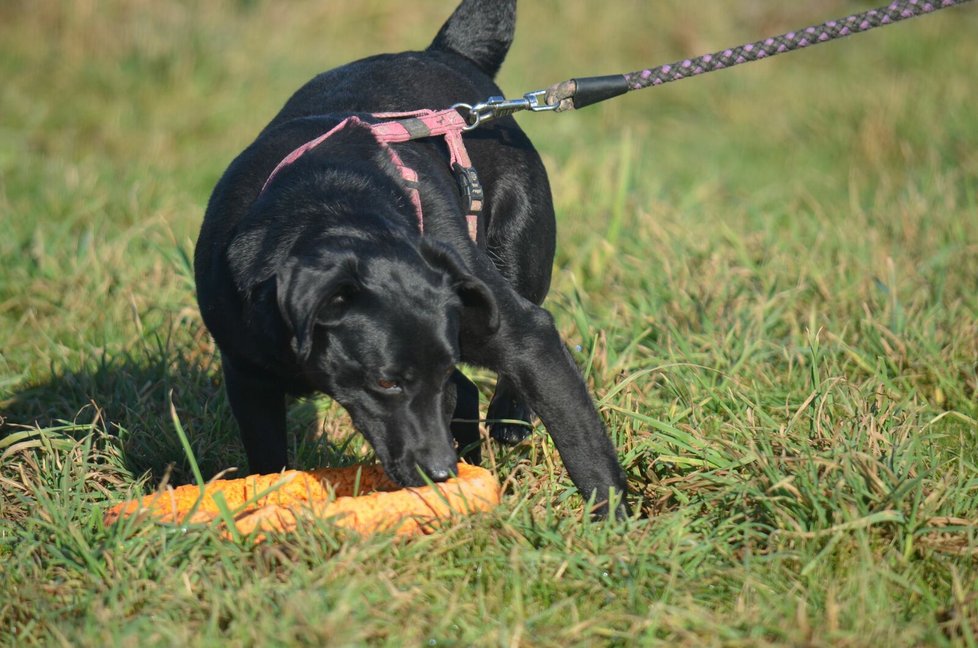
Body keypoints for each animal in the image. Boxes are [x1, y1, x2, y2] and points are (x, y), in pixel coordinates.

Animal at [194, 0, 624, 516]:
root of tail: (445, 53)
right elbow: (268, 459)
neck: (328, 204)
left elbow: (579, 435)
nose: (439, 473)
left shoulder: (509, 329)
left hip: (517, 248)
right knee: (468, 390)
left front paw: (615, 523)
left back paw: (509, 419)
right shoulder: (246, 372)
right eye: (385, 384)